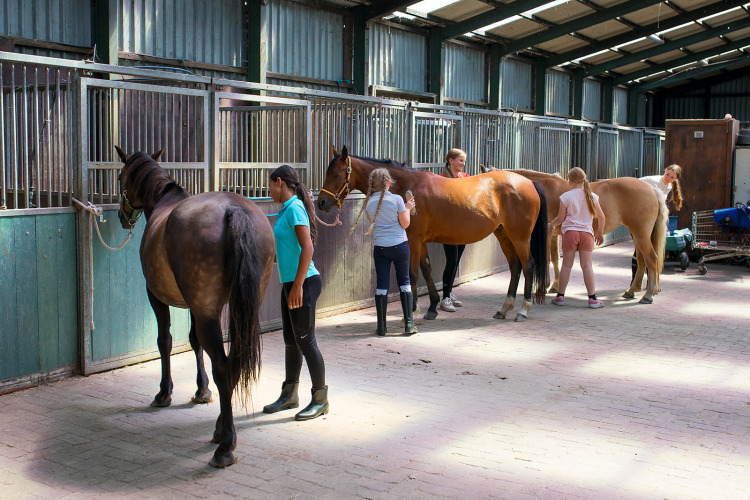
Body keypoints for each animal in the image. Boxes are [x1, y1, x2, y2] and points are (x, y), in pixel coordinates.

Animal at [114, 146, 275, 468]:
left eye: (120, 177)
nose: (123, 216)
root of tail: (232, 210)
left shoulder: (156, 297)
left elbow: (165, 341)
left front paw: (164, 393)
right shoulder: (194, 305)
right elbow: (193, 341)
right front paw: (202, 391)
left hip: (206, 312)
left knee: (223, 365)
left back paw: (225, 445)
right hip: (236, 308)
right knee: (233, 362)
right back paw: (220, 429)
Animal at [316, 146, 547, 322]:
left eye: (337, 174)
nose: (321, 203)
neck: (407, 187)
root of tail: (529, 182)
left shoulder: (413, 239)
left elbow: (412, 273)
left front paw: (413, 309)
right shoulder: (421, 241)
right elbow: (426, 269)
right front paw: (432, 307)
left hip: (520, 237)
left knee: (528, 265)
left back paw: (523, 310)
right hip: (504, 235)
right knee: (515, 266)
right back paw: (504, 308)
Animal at [508, 169, 667, 303]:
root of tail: (651, 189)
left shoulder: (547, 234)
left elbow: (546, 259)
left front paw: (543, 287)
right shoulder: (553, 235)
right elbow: (555, 259)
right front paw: (555, 286)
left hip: (641, 235)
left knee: (651, 259)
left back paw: (648, 295)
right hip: (637, 235)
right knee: (641, 260)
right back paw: (631, 291)